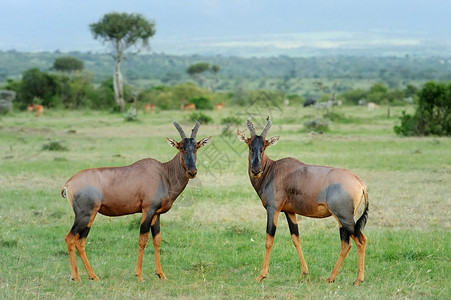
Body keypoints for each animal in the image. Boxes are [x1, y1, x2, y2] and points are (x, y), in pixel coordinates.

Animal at [61, 119, 213, 282]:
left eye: (196, 147)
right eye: (181, 147)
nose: (192, 172)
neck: (163, 173)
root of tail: (68, 183)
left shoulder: (156, 214)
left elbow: (157, 240)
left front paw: (161, 274)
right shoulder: (148, 210)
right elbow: (143, 239)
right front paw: (139, 275)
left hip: (90, 216)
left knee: (80, 241)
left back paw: (93, 276)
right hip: (84, 215)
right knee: (70, 238)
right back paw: (76, 278)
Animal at [238, 116, 370, 286]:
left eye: (264, 147)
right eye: (250, 145)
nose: (256, 170)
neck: (273, 169)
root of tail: (359, 182)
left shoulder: (273, 209)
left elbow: (269, 240)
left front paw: (261, 276)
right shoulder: (289, 212)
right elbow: (296, 239)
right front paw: (304, 273)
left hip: (344, 217)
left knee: (360, 240)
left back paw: (357, 280)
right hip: (342, 219)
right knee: (346, 244)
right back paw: (330, 278)